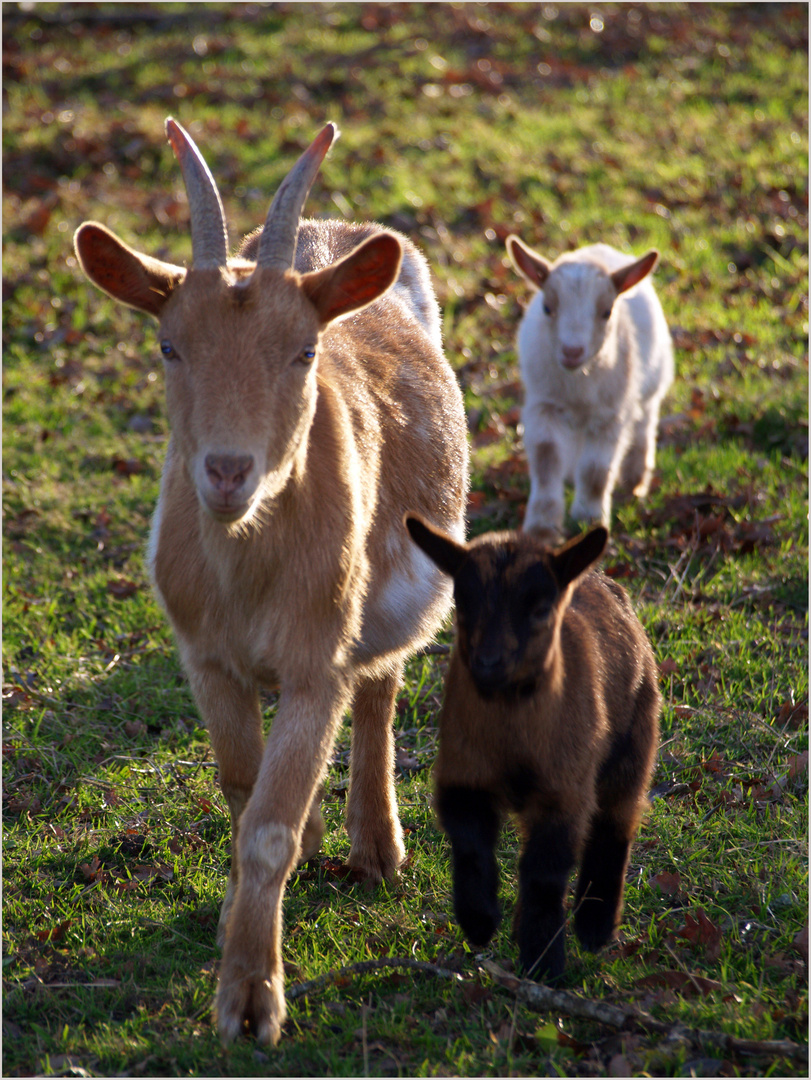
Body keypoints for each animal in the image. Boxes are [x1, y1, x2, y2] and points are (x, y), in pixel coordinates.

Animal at [76, 120, 468, 1045]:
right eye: (168, 346)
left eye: (304, 351)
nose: (226, 472)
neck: (249, 570)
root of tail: (335, 230)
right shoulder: (205, 659)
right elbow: (241, 791)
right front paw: (235, 926)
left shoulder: (315, 662)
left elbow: (269, 827)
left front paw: (251, 1000)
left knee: (380, 689)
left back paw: (376, 847)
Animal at [403, 518, 660, 984]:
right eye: (461, 602)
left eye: (540, 608)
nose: (488, 663)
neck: (515, 741)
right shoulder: (462, 773)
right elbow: (470, 847)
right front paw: (480, 921)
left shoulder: (565, 791)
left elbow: (544, 874)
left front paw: (544, 961)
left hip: (634, 742)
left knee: (616, 824)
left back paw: (595, 926)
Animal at [507, 238, 673, 537]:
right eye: (547, 308)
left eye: (607, 312)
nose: (572, 351)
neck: (578, 388)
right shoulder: (543, 405)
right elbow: (546, 457)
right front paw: (542, 527)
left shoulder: (611, 415)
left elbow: (596, 470)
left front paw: (589, 519)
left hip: (652, 386)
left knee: (644, 426)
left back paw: (635, 480)